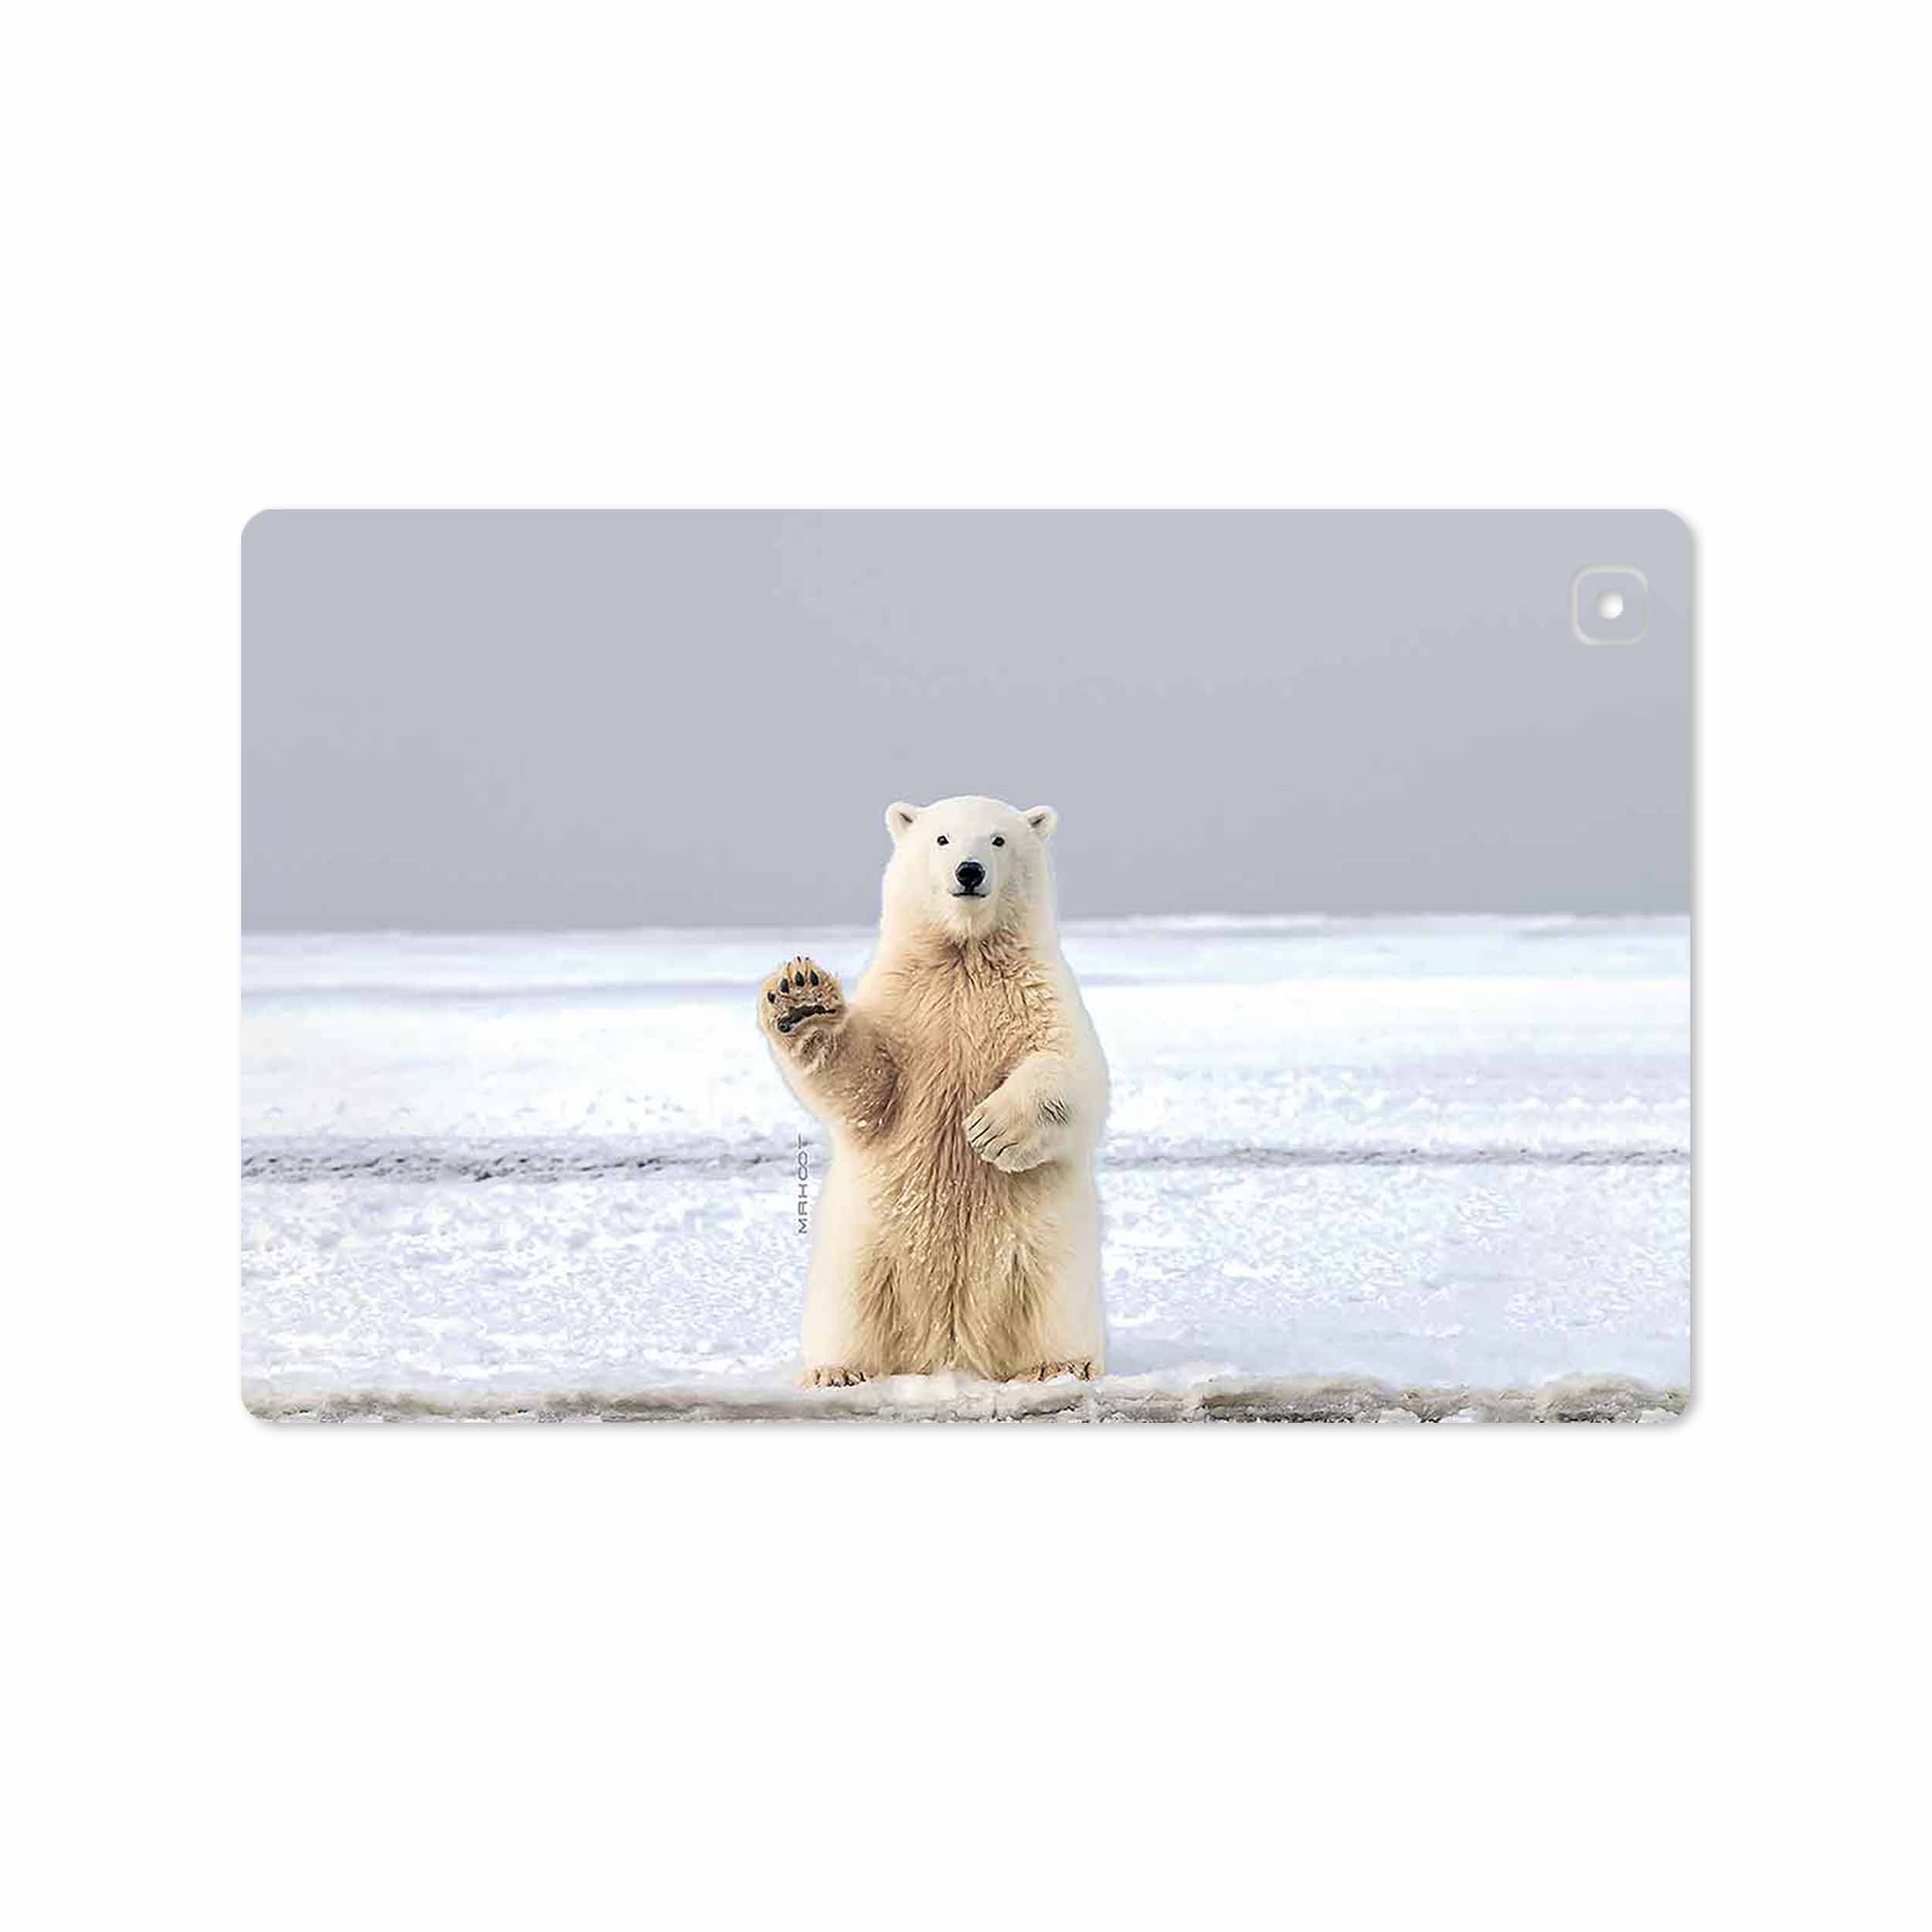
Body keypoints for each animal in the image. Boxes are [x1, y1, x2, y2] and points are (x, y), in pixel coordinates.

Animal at [758, 795, 1109, 1387]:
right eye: (942, 839)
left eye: (998, 839)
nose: (969, 872)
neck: (965, 956)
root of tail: (950, 1350)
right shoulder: (906, 1004)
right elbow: (867, 1084)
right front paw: (801, 999)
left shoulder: (1040, 994)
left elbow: (1074, 1071)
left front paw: (990, 1129)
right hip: (862, 1246)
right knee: (848, 1305)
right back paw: (837, 1371)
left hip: (1049, 1248)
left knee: (1055, 1298)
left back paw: (1061, 1365)